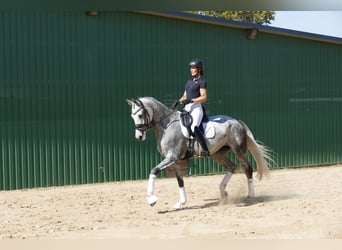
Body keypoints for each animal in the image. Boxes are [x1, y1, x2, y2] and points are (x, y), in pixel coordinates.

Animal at [127, 96, 274, 208]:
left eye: (140, 115)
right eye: (132, 117)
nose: (139, 137)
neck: (167, 125)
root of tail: (236, 121)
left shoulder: (172, 158)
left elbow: (153, 171)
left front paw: (151, 199)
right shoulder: (175, 161)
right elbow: (180, 182)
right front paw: (181, 203)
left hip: (239, 150)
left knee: (247, 168)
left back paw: (250, 195)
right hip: (217, 154)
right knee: (232, 166)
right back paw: (223, 192)